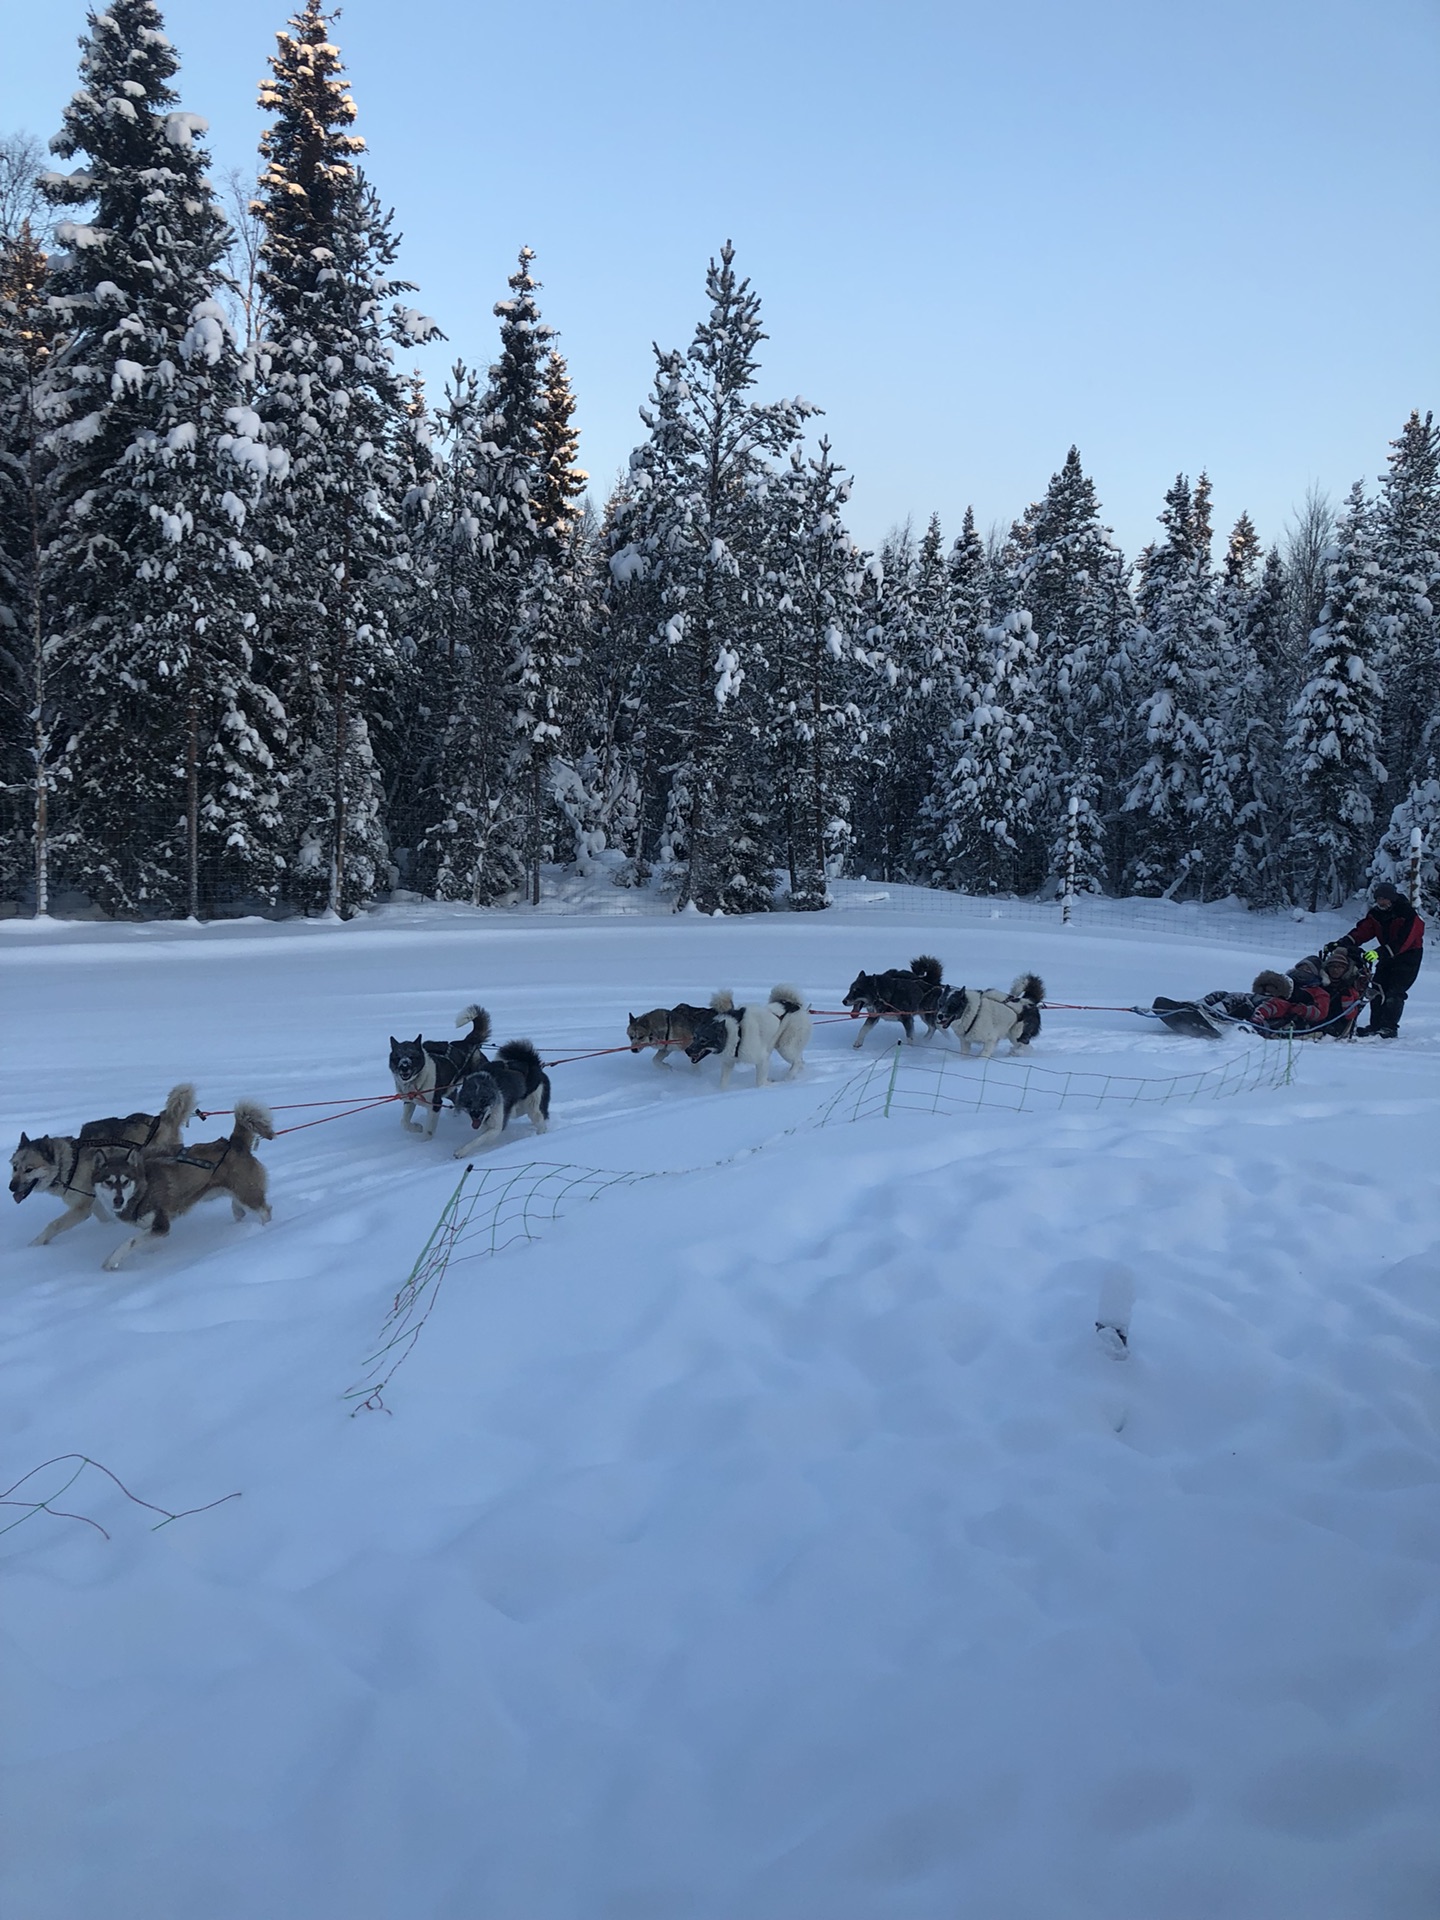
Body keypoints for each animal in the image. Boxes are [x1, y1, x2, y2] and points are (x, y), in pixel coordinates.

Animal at [9, 1090, 197, 1251]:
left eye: (29, 1169)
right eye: (15, 1167)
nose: (11, 1187)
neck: (68, 1165)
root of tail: (162, 1118)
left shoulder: (81, 1208)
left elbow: (53, 1225)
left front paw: (33, 1245)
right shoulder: (95, 1201)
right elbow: (105, 1218)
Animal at [96, 1098, 278, 1274]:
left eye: (125, 1181)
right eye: (108, 1182)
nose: (118, 1200)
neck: (144, 1187)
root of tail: (234, 1142)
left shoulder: (161, 1225)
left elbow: (130, 1242)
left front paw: (111, 1261)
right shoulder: (152, 1227)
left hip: (248, 1194)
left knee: (265, 1210)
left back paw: (266, 1230)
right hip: (238, 1195)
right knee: (239, 1210)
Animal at [391, 1006, 495, 1136]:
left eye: (412, 1056)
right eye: (397, 1057)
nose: (404, 1067)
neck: (418, 1082)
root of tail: (467, 1042)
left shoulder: (435, 1104)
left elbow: (429, 1131)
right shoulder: (409, 1101)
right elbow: (404, 1122)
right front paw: (417, 1128)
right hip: (449, 1089)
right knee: (457, 1101)